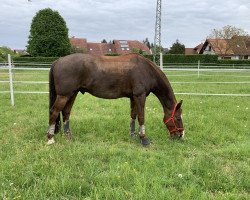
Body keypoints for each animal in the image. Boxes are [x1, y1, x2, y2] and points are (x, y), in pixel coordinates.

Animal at [47, 52, 184, 145]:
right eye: (178, 118)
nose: (181, 136)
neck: (147, 70)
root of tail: (58, 60)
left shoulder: (133, 97)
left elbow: (133, 115)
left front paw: (133, 135)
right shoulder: (140, 96)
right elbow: (141, 117)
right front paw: (144, 138)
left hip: (72, 94)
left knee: (66, 112)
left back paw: (68, 136)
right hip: (64, 95)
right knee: (54, 112)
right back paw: (50, 138)